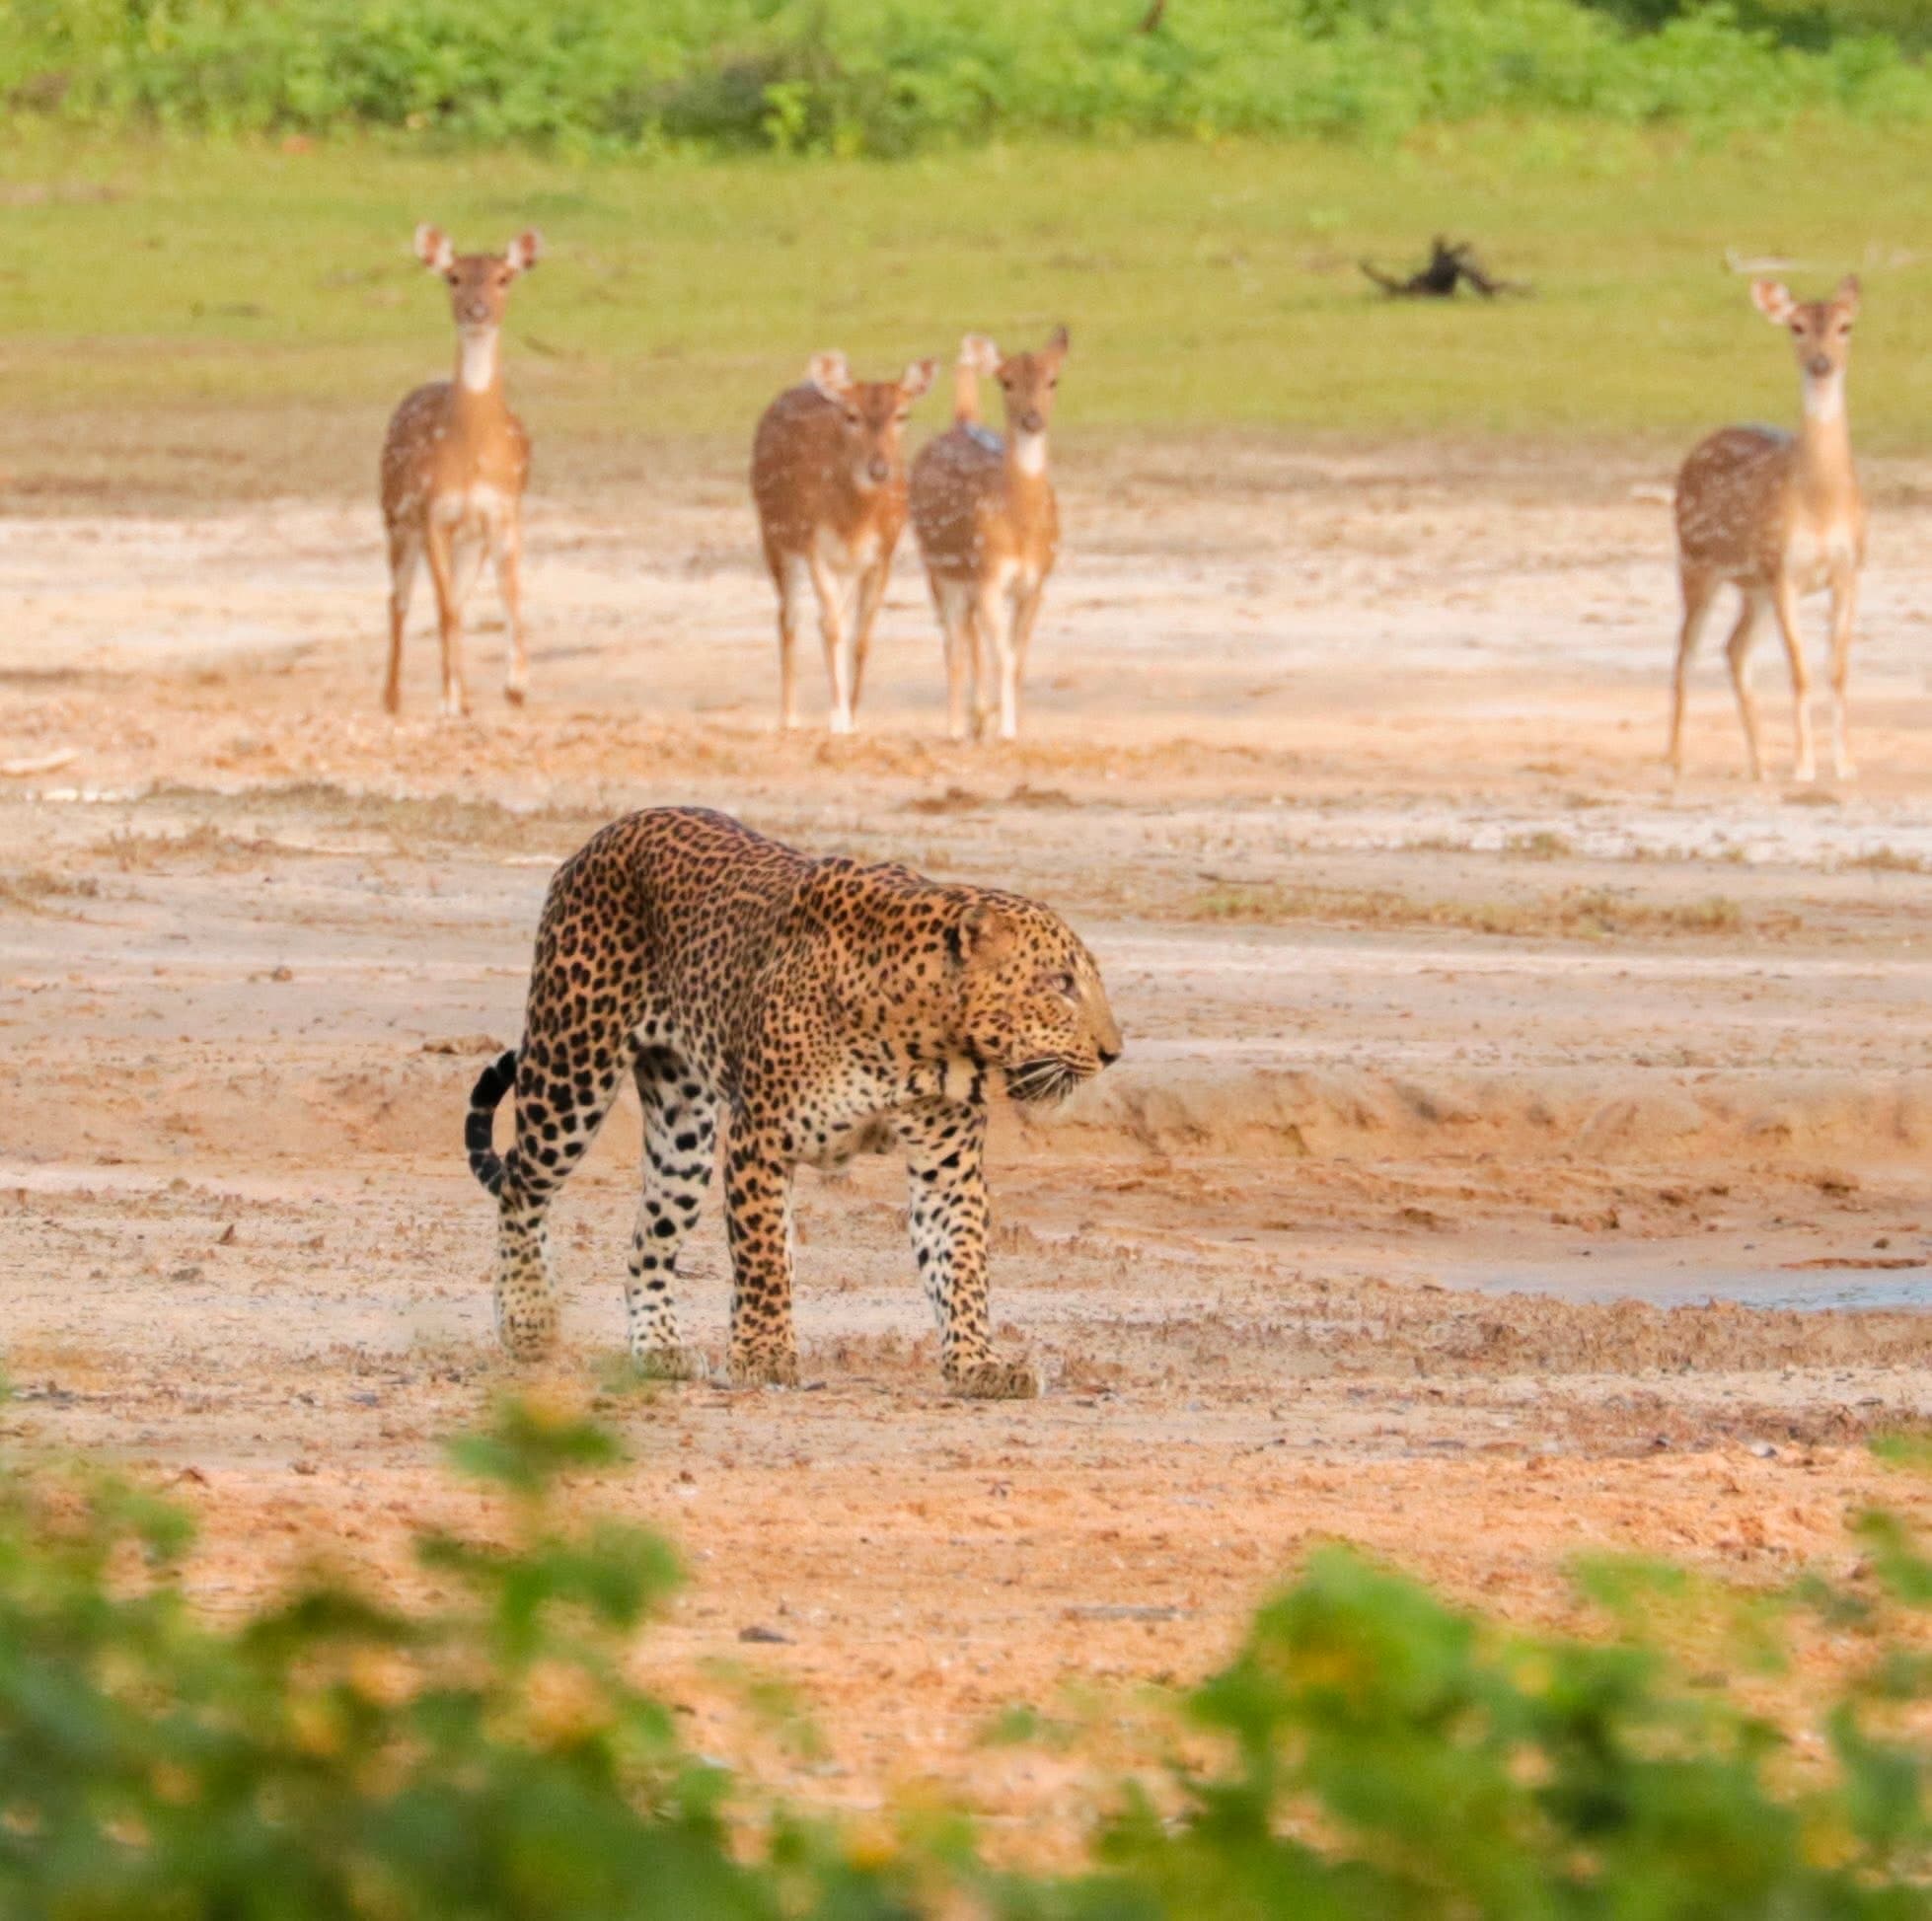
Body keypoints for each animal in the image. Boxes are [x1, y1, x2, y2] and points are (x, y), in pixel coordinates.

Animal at [466, 806, 1122, 1397]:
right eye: (1061, 984)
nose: (1114, 1052)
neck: (922, 1039)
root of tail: (605, 834)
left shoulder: (947, 1168)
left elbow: (960, 1265)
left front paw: (978, 1364)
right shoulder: (760, 1140)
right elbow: (765, 1261)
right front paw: (762, 1355)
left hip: (684, 1138)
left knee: (647, 1242)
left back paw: (659, 1350)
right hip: (571, 1069)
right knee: (523, 1184)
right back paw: (528, 1318)